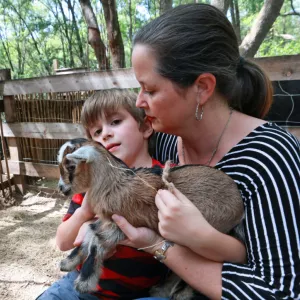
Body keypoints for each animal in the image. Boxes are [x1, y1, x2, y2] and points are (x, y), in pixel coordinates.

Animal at [56, 139, 244, 298]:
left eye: (71, 166)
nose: (61, 188)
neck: (114, 184)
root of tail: (240, 207)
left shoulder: (125, 223)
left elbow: (96, 241)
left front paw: (84, 283)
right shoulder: (109, 220)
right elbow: (89, 230)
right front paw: (68, 262)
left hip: (204, 234)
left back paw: (176, 293)